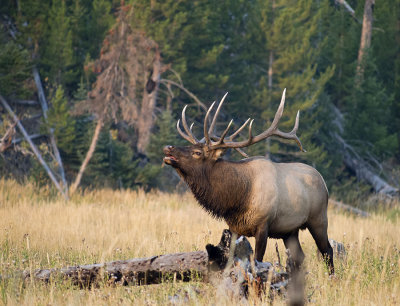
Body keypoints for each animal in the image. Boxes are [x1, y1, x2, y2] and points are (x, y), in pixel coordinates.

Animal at [162, 89, 334, 274]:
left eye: (197, 152)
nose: (168, 147)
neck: (238, 198)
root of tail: (324, 183)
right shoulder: (234, 227)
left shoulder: (263, 224)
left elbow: (258, 259)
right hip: (290, 230)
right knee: (299, 257)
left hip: (318, 217)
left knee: (327, 250)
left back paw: (332, 276)